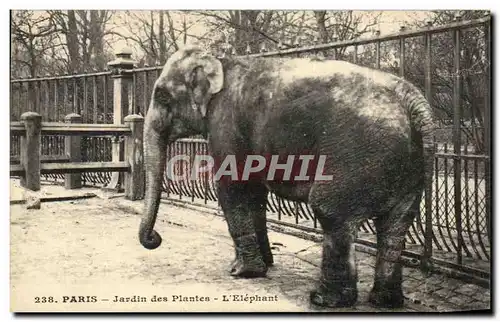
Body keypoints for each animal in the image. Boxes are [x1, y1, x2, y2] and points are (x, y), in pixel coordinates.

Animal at [139, 44, 436, 308]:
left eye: (162, 96)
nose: (155, 238)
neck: (220, 60)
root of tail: (414, 103)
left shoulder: (225, 122)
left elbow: (233, 187)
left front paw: (241, 272)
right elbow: (255, 193)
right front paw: (264, 265)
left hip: (357, 155)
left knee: (331, 211)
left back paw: (324, 300)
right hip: (410, 169)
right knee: (397, 223)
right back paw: (385, 301)